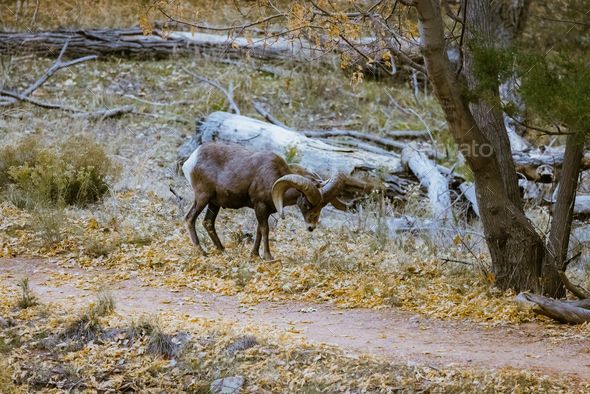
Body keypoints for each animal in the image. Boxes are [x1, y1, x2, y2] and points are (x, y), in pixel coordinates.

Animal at [182, 143, 346, 260]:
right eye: (306, 204)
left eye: (322, 206)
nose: (311, 227)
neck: (272, 177)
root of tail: (191, 160)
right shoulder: (260, 206)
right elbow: (265, 230)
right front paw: (268, 257)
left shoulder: (264, 211)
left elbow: (259, 231)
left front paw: (254, 255)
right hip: (202, 198)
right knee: (190, 218)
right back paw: (201, 251)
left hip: (214, 203)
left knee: (208, 223)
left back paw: (222, 251)